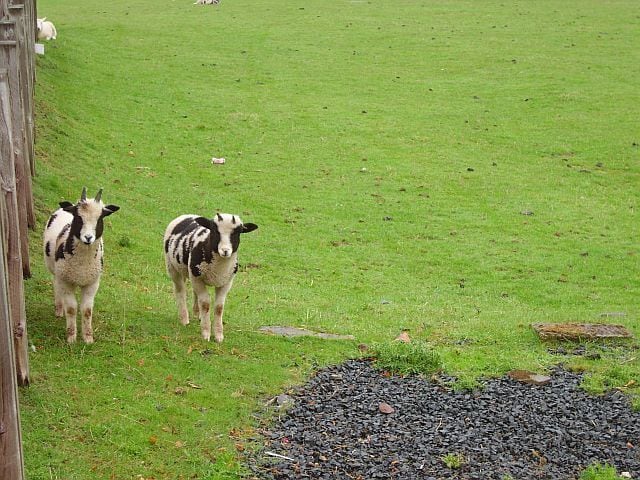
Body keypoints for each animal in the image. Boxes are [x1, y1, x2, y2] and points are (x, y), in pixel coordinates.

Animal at [43, 187, 120, 343]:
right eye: (78, 218)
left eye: (100, 219)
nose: (88, 238)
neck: (81, 265)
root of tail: (67, 206)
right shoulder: (66, 281)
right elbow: (71, 308)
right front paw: (71, 337)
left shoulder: (92, 283)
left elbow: (87, 310)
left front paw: (88, 338)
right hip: (56, 271)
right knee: (56, 285)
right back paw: (59, 310)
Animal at [164, 213, 258, 342]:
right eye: (215, 230)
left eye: (238, 232)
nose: (225, 251)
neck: (219, 267)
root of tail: (186, 215)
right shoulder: (197, 278)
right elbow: (205, 304)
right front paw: (206, 333)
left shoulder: (226, 282)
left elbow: (219, 307)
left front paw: (218, 336)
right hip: (172, 267)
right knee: (180, 290)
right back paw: (184, 319)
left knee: (195, 293)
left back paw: (197, 314)